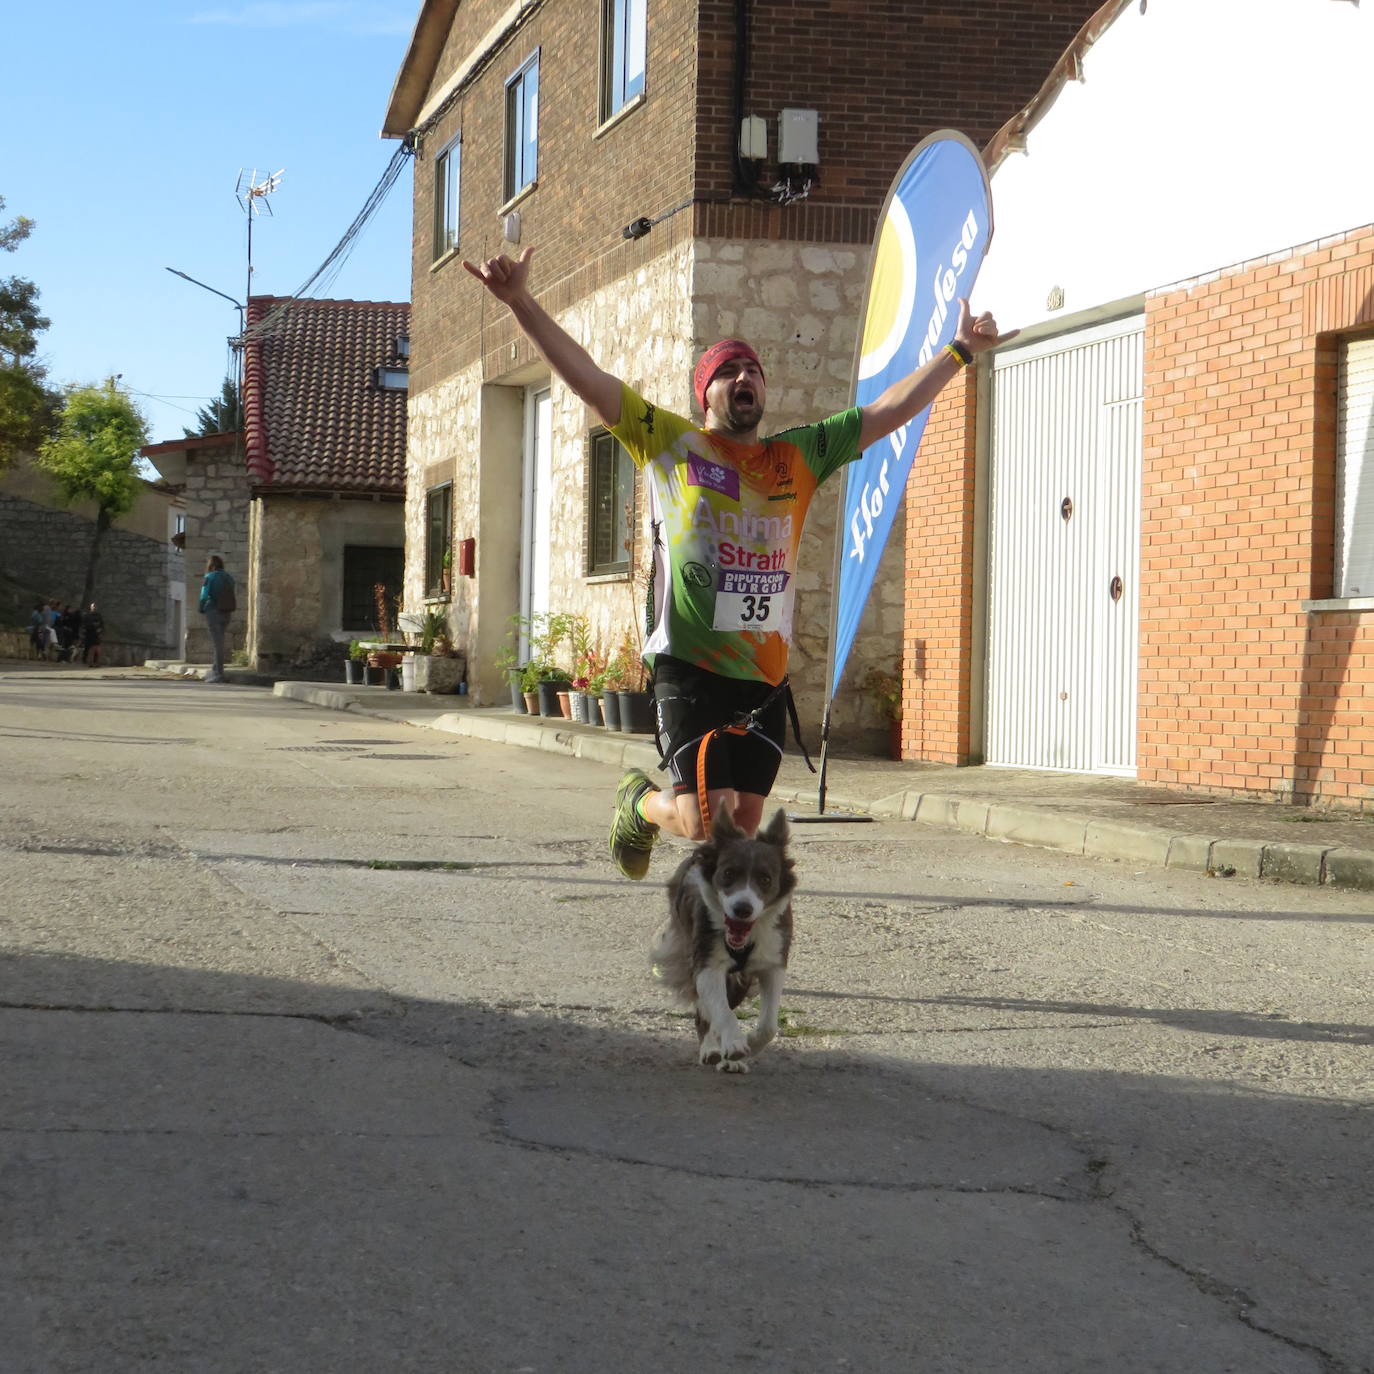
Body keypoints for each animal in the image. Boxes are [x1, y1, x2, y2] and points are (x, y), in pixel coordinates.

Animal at [651, 802, 796, 1071]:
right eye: (728, 873)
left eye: (765, 879)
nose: (742, 909)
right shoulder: (707, 960)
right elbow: (721, 1010)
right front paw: (735, 1043)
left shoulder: (772, 960)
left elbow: (769, 1025)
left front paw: (751, 1044)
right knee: (705, 1011)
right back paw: (711, 1049)